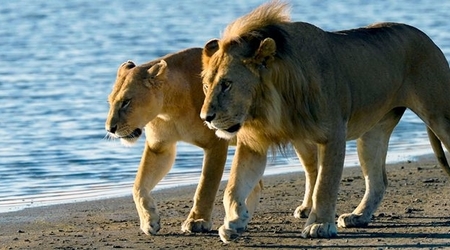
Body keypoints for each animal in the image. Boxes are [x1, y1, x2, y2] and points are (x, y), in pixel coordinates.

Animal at [103, 48, 262, 236]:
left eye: (126, 102)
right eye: (110, 101)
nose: (109, 129)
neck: (169, 108)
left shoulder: (215, 144)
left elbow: (206, 185)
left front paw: (197, 221)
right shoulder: (159, 148)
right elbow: (138, 185)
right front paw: (149, 220)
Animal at [200, 0, 450, 242]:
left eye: (227, 84)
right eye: (206, 85)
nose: (206, 118)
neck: (269, 106)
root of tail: (425, 36)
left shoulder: (334, 134)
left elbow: (325, 184)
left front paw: (319, 225)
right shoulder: (254, 143)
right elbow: (233, 186)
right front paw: (235, 221)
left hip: (439, 116)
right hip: (372, 134)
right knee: (378, 182)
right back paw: (358, 216)